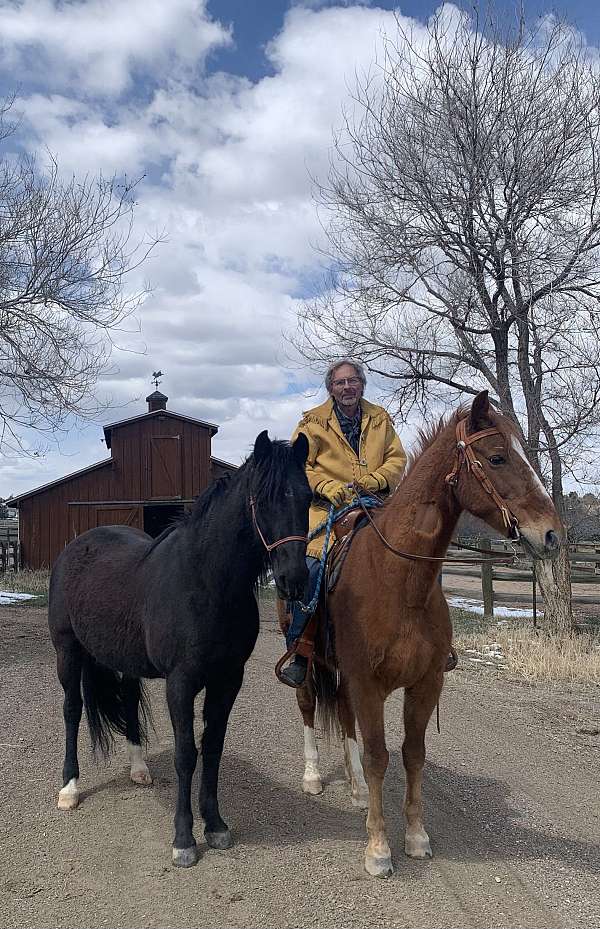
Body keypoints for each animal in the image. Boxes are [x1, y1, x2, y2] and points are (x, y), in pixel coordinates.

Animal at [48, 432, 310, 868]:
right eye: (262, 498)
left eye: (308, 496)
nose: (295, 580)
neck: (206, 581)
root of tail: (75, 547)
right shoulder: (181, 682)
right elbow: (187, 753)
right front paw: (184, 840)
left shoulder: (228, 680)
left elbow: (213, 748)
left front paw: (216, 825)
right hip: (67, 651)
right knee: (72, 710)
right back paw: (69, 788)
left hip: (125, 660)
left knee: (128, 702)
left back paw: (138, 770)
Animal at [278, 394, 560, 876]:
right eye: (498, 457)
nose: (552, 534)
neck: (399, 579)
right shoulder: (368, 683)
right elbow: (378, 756)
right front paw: (377, 848)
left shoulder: (425, 684)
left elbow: (412, 754)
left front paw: (415, 836)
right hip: (307, 659)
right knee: (308, 706)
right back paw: (313, 775)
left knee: (345, 718)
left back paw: (355, 788)